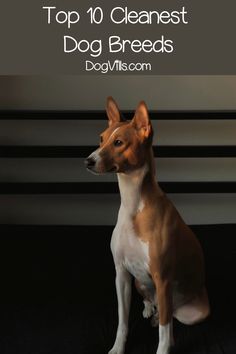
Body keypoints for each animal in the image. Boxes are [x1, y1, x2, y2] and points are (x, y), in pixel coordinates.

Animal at [85, 97, 210, 354]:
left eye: (119, 142)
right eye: (101, 138)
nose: (88, 161)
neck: (133, 205)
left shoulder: (163, 279)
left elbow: (164, 330)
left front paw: (164, 346)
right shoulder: (121, 274)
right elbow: (122, 321)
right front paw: (117, 347)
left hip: (194, 310)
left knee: (170, 316)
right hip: (138, 282)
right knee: (153, 303)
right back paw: (148, 309)